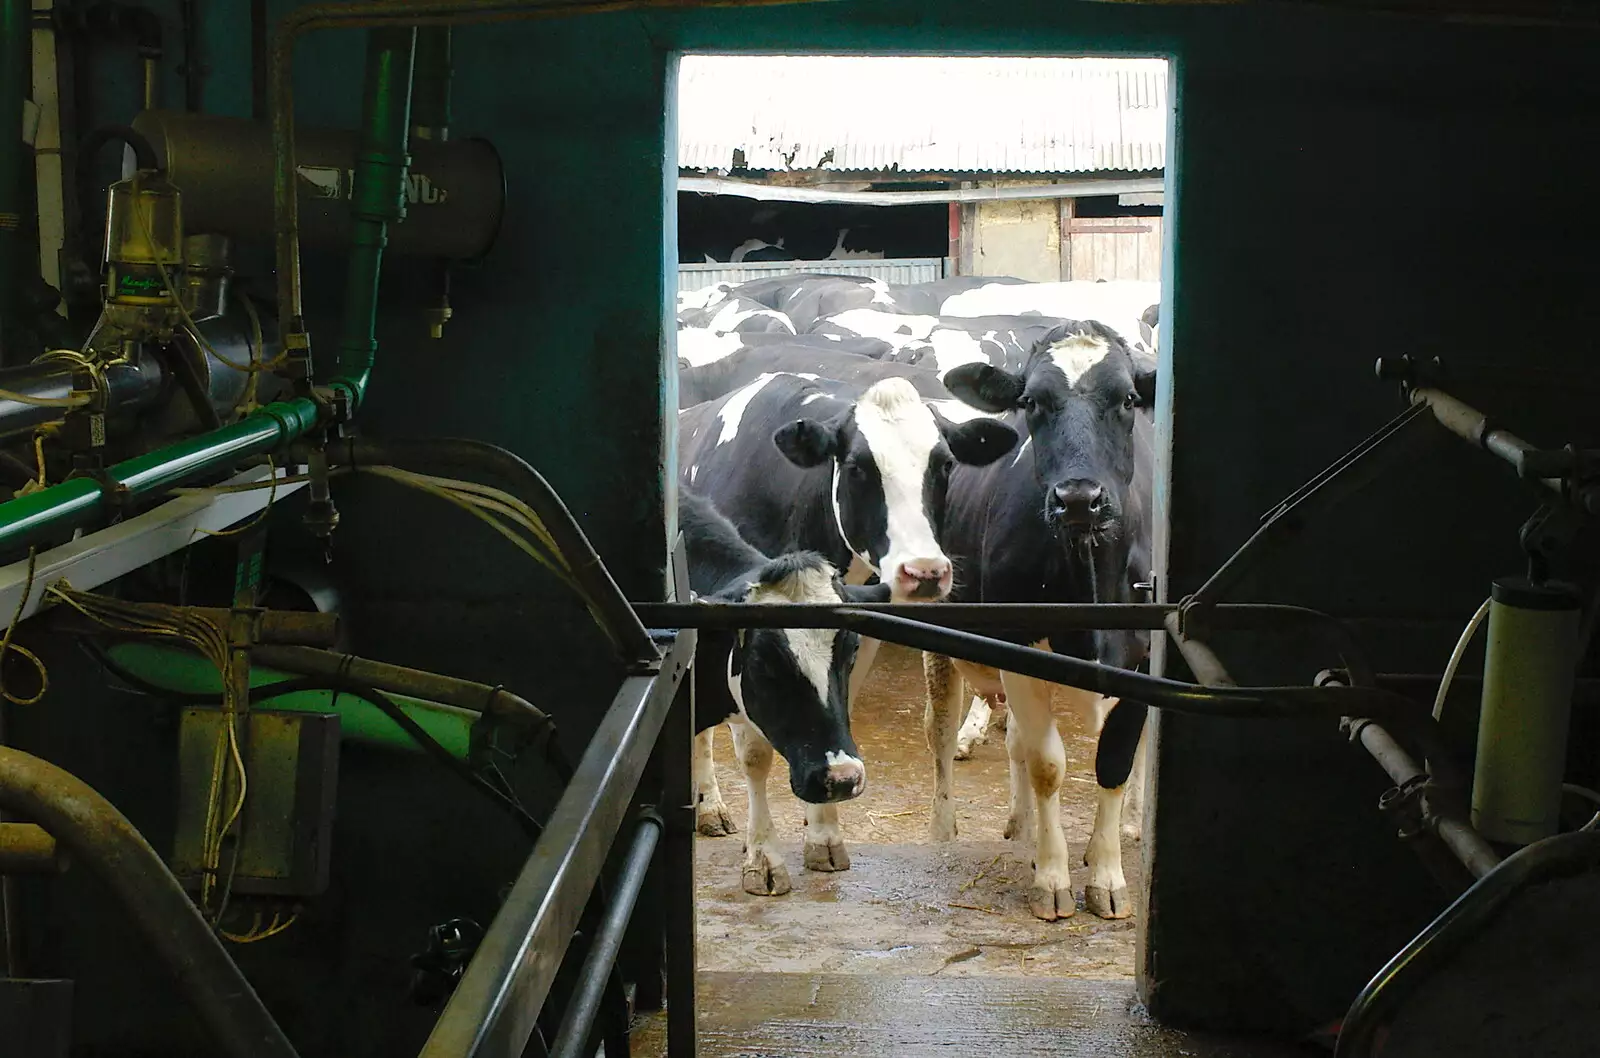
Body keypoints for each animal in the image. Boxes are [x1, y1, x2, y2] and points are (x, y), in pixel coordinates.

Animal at [681, 486, 896, 889]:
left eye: (852, 649)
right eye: (764, 662)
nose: (842, 778)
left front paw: (823, 837)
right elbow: (754, 759)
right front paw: (765, 859)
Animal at [928, 318, 1164, 921]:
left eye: (1128, 399)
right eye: (1032, 401)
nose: (1078, 497)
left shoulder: (1144, 658)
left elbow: (1115, 761)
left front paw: (1106, 874)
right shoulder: (1020, 647)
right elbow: (1047, 765)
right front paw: (1052, 879)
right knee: (942, 732)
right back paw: (954, 832)